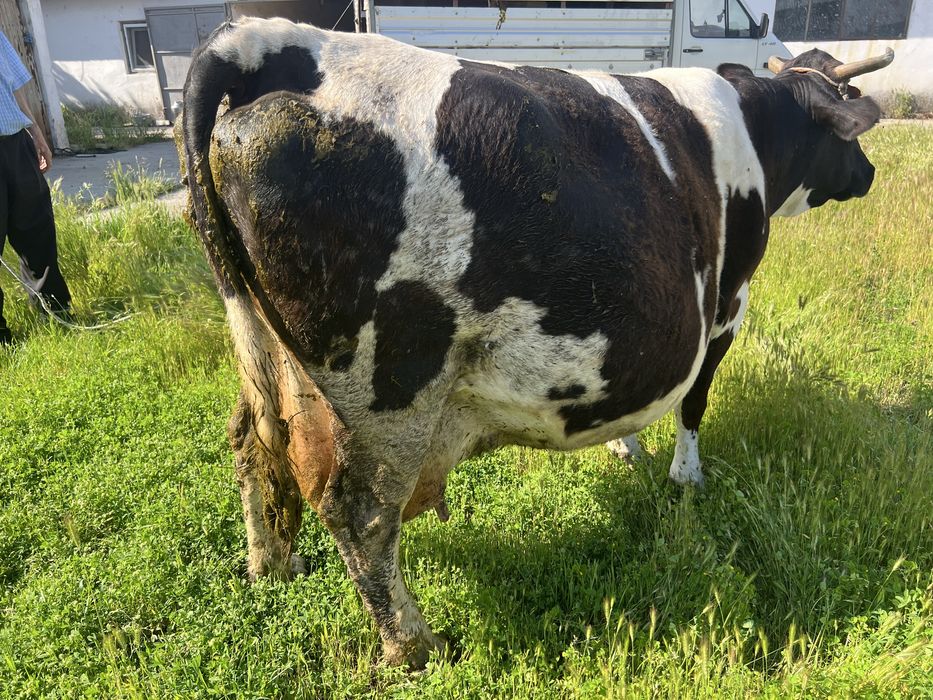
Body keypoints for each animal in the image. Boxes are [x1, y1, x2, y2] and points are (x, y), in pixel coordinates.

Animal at [179, 17, 893, 668]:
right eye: (847, 118)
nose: (869, 172)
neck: (754, 133)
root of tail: (266, 38)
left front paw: (625, 448)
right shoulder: (726, 307)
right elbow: (694, 401)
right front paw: (685, 477)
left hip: (271, 356)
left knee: (251, 442)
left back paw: (272, 564)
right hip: (389, 389)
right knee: (363, 513)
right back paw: (416, 646)